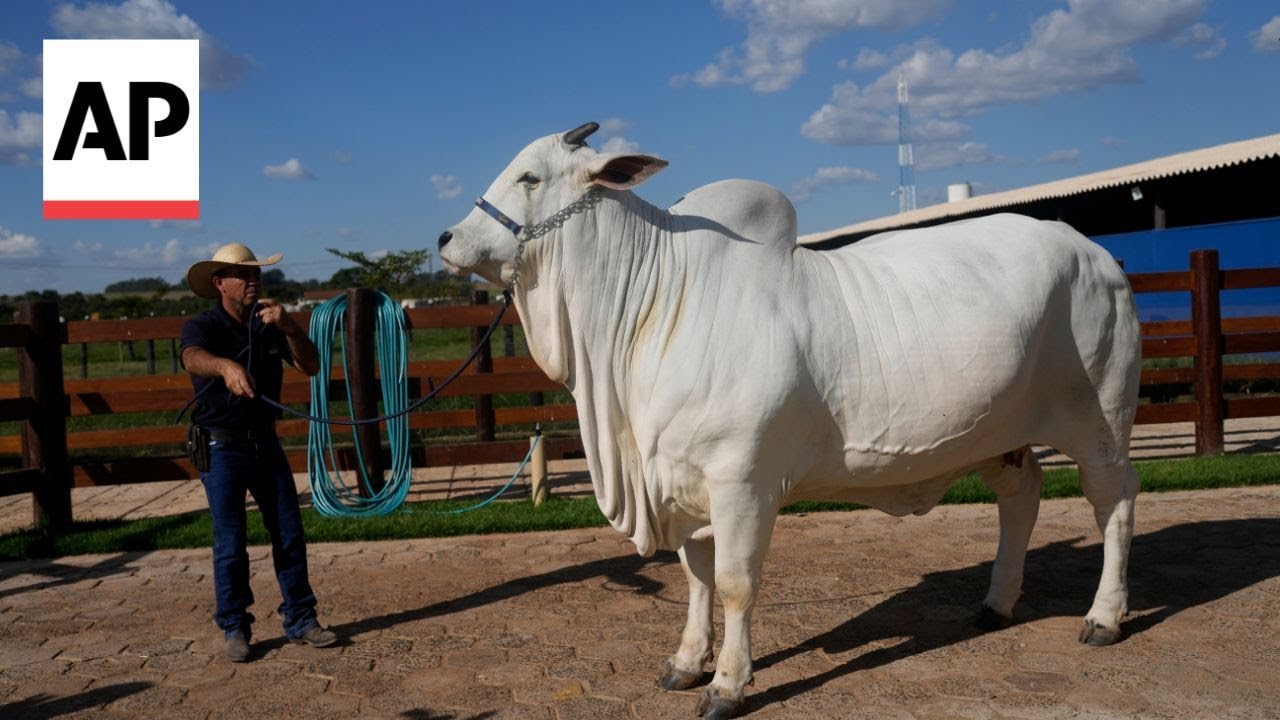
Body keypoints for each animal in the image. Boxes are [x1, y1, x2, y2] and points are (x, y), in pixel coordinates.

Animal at [438, 123, 1141, 719]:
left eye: (530, 177)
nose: (446, 239)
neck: (653, 306)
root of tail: (1097, 253)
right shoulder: (686, 482)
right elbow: (695, 578)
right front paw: (686, 662)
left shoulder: (741, 482)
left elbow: (734, 584)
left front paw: (727, 684)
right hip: (1004, 437)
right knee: (1022, 498)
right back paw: (997, 603)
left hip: (1100, 424)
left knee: (1114, 506)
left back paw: (1104, 617)